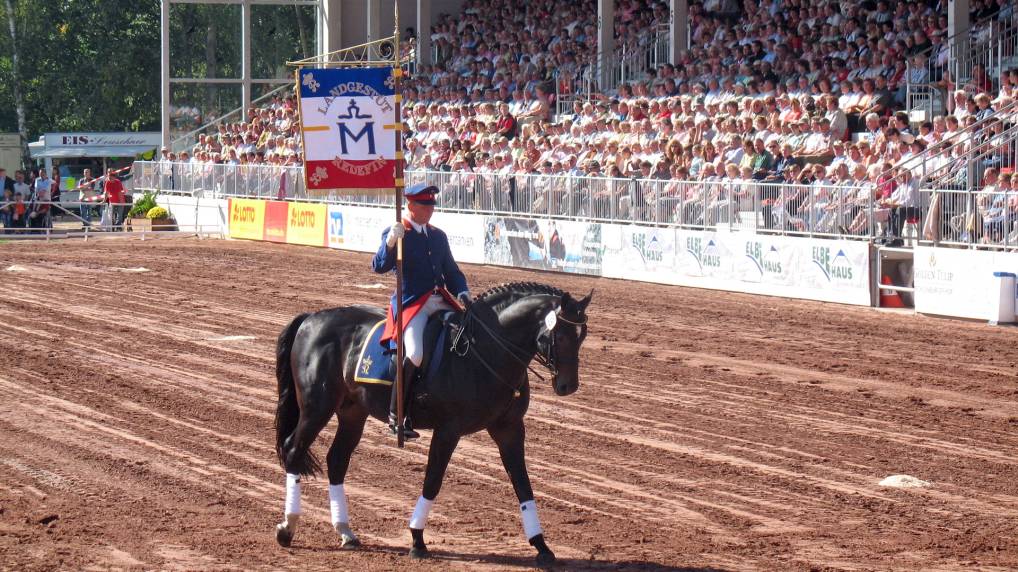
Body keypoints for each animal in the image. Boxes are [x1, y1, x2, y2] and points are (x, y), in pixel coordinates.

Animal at [274, 280, 594, 561]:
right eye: (561, 335)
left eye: (582, 336)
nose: (568, 386)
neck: (485, 350)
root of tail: (312, 317)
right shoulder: (448, 430)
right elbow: (433, 481)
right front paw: (417, 540)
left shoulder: (510, 429)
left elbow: (523, 485)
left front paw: (541, 546)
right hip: (317, 407)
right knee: (294, 450)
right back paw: (288, 528)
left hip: (352, 413)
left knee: (337, 460)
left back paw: (346, 532)